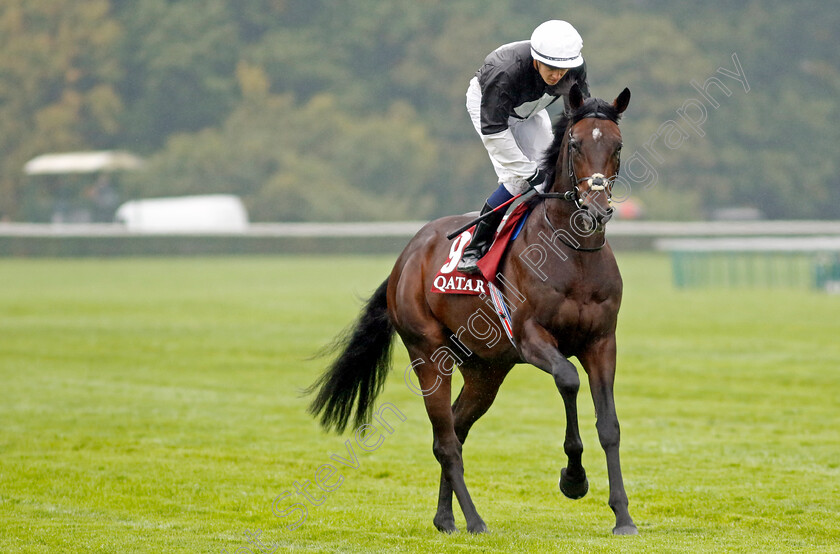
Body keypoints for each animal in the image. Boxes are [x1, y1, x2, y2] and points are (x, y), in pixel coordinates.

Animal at [308, 84, 636, 532]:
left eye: (617, 146)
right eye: (574, 144)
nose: (596, 208)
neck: (573, 253)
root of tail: (405, 257)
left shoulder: (602, 342)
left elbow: (610, 426)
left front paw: (623, 515)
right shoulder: (531, 338)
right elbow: (568, 380)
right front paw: (573, 478)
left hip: (485, 370)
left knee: (456, 430)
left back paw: (445, 517)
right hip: (429, 352)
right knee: (445, 441)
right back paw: (474, 520)